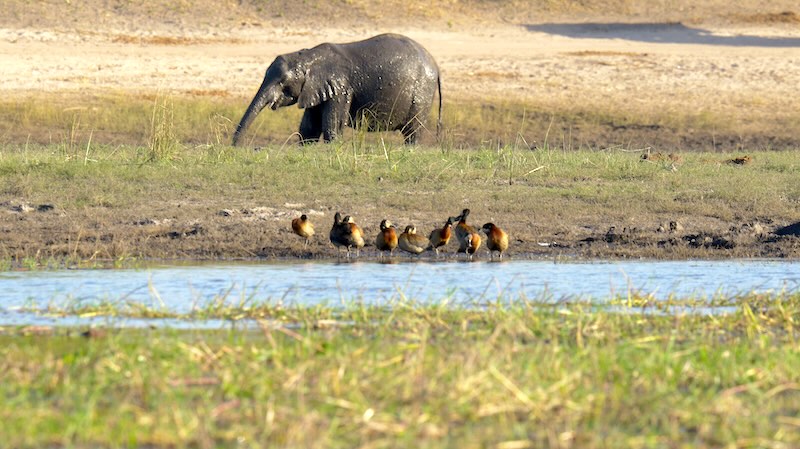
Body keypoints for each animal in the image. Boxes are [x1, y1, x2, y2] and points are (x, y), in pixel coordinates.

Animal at [232, 33, 442, 146]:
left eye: (282, 82)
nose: (237, 148)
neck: (307, 57)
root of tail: (436, 65)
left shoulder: (341, 90)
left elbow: (332, 128)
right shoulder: (316, 89)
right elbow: (309, 128)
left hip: (421, 94)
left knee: (413, 131)